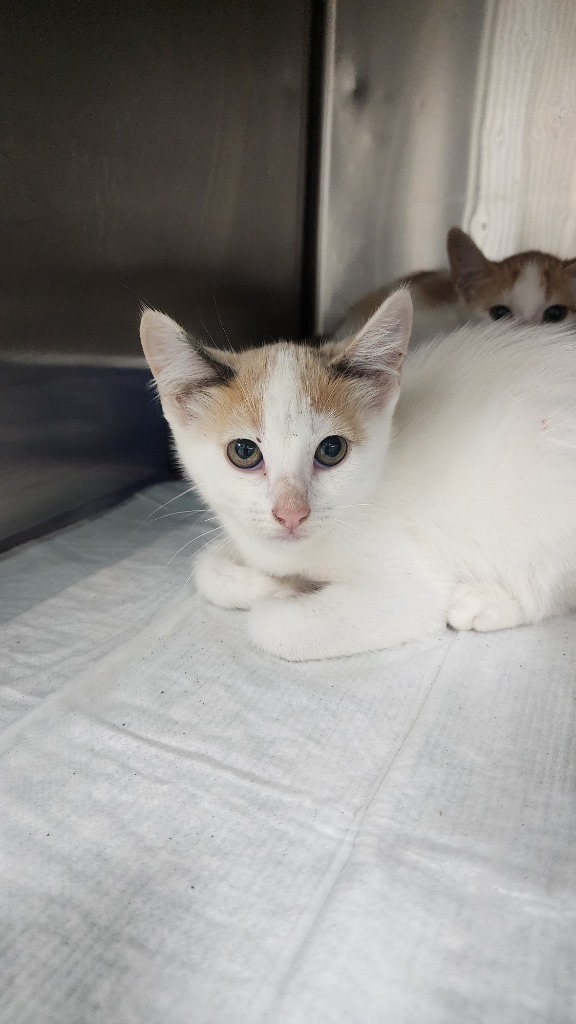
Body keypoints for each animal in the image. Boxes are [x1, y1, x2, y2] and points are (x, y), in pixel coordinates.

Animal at [140, 292, 576, 663]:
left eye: (331, 450)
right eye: (244, 452)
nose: (291, 515)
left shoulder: (406, 593)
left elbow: (269, 626)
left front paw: (287, 593)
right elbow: (206, 567)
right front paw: (274, 584)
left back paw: (486, 603)